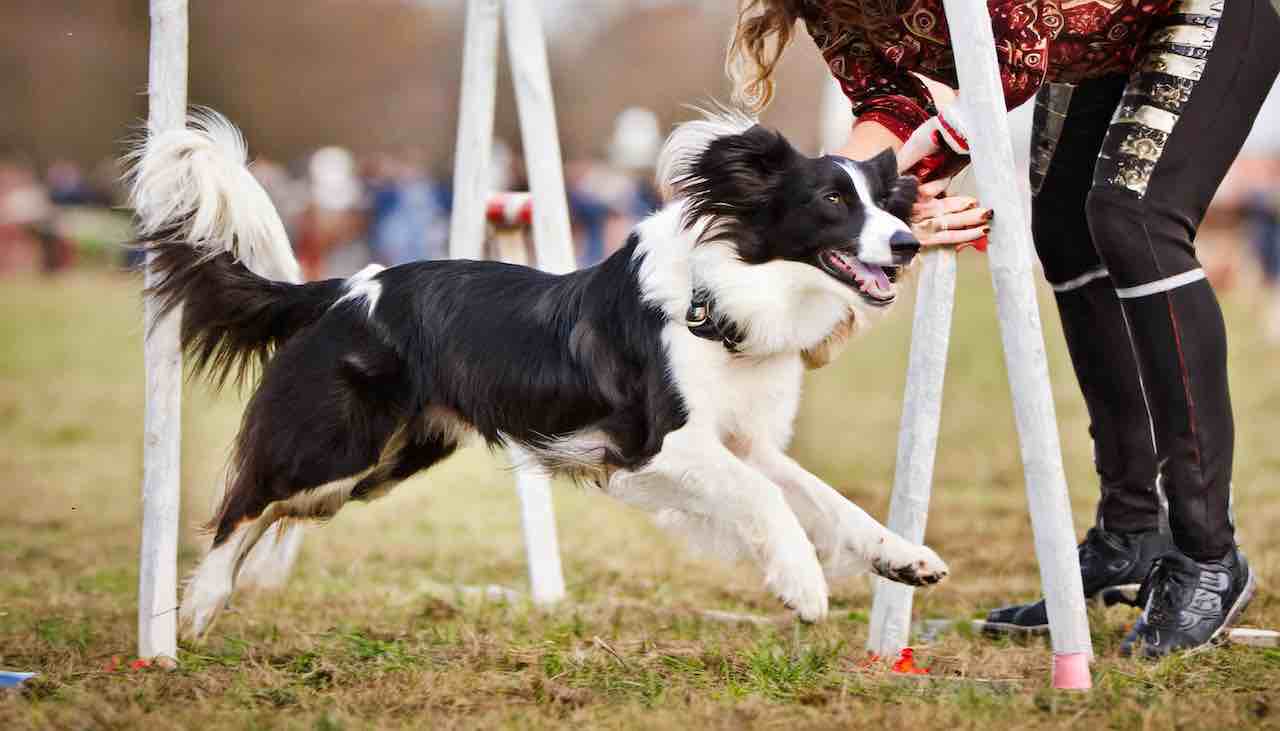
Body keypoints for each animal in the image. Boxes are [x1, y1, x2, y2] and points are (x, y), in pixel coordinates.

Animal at [127, 105, 952, 637]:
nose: (909, 243)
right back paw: (193, 611)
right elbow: (766, 498)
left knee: (275, 510)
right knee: (245, 502)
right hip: (337, 447)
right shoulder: (660, 444)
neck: (729, 294)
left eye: (887, 202)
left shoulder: (741, 442)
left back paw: (223, 595)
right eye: (833, 199)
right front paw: (802, 585)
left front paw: (904, 557)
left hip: (379, 465)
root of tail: (342, 287)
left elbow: (824, 499)